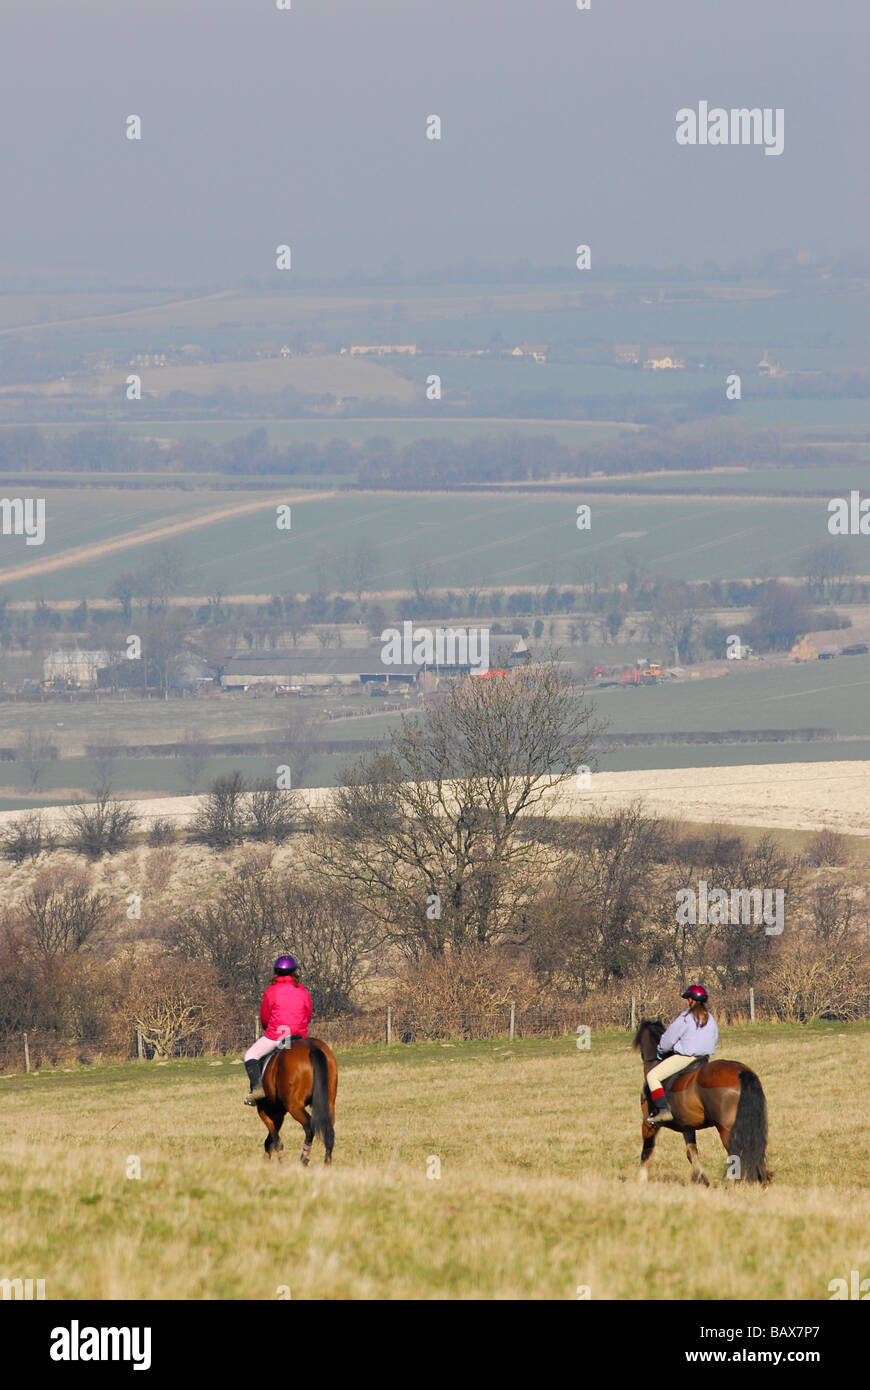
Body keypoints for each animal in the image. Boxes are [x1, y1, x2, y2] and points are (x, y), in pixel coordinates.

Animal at [252, 1039, 337, 1167]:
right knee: (329, 1131)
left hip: (294, 1107)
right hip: (329, 1104)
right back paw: (327, 1163)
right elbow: (270, 1139)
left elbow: (275, 1140)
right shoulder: (279, 1114)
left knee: (309, 1127)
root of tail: (312, 1047)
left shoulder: (265, 1111)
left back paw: (303, 1160)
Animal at [630, 1023, 767, 1184]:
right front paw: (701, 1179)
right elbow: (691, 1152)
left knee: (738, 1153)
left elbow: (647, 1150)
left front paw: (640, 1179)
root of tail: (741, 1071)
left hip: (727, 1129)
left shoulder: (648, 1123)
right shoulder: (687, 1126)